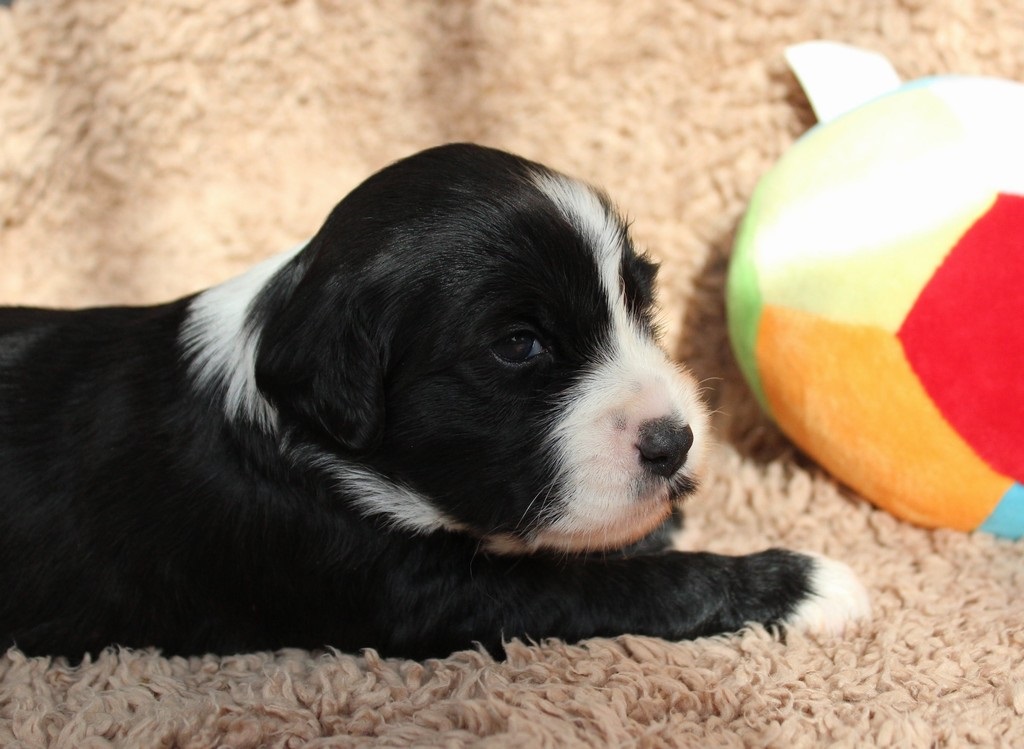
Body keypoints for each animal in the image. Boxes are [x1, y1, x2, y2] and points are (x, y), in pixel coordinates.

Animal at [0, 144, 868, 660]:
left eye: (640, 302)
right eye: (518, 345)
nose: (675, 442)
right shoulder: (421, 591)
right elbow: (613, 584)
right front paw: (799, 585)